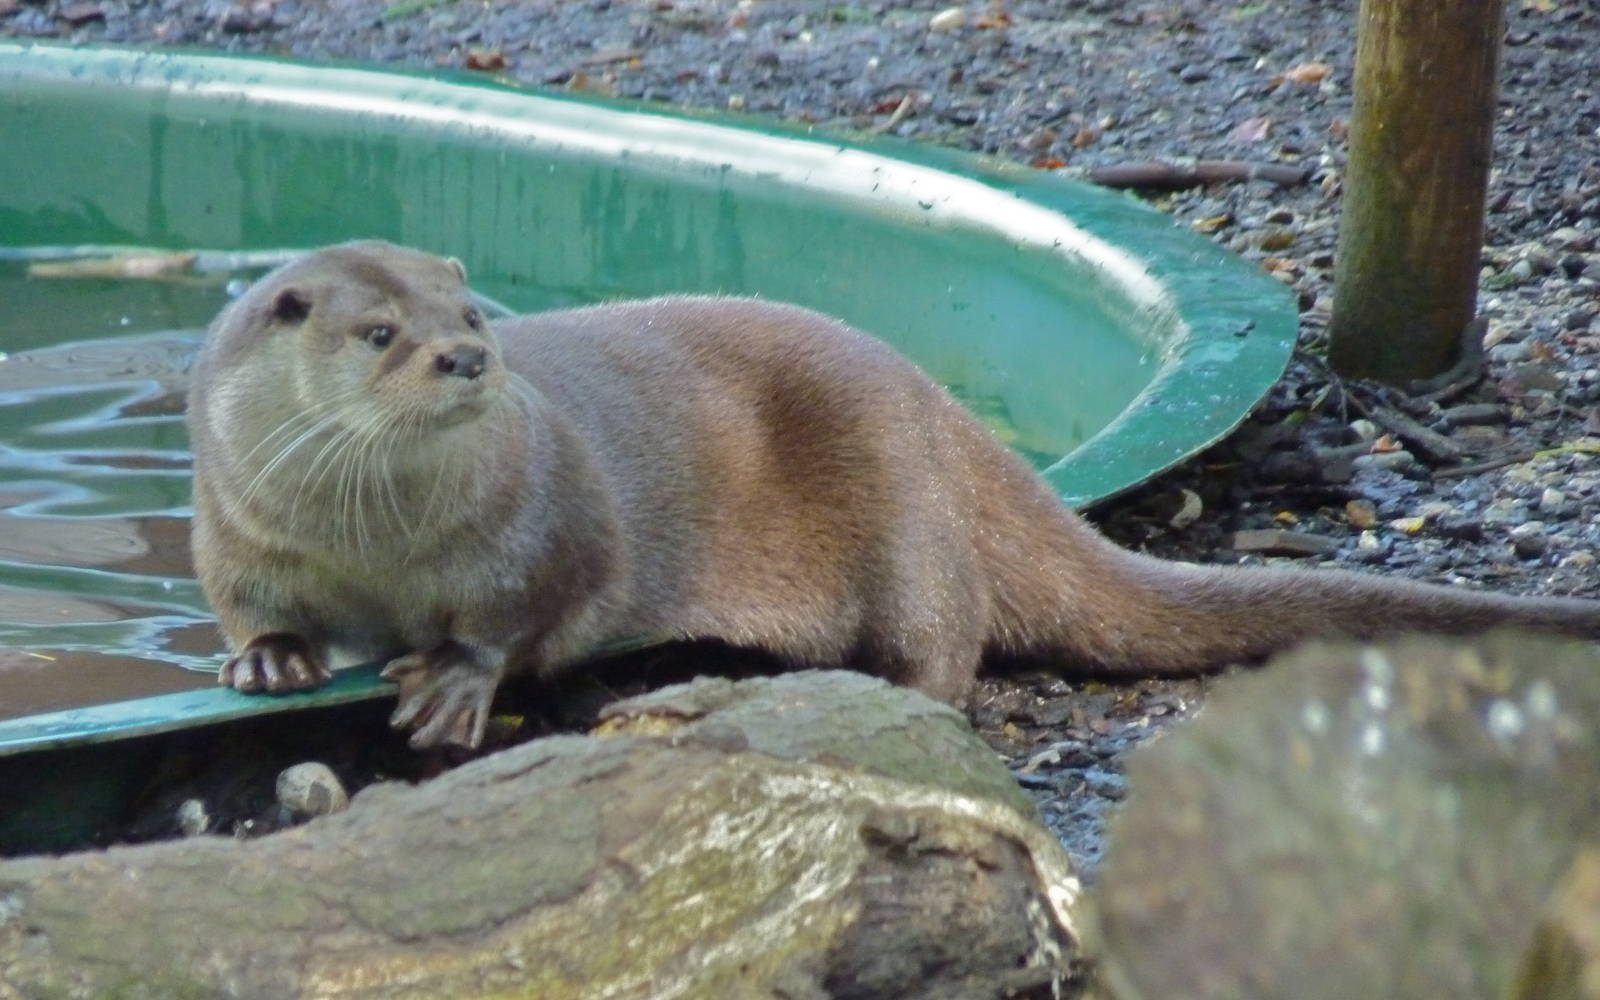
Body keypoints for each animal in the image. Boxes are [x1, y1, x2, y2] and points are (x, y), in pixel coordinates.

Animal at [189, 241, 1600, 749]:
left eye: (472, 313)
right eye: (379, 333)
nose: (470, 358)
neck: (378, 549)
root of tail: (947, 415)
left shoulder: (550, 516)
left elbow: (532, 607)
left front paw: (451, 681)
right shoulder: (234, 529)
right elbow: (249, 606)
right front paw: (268, 659)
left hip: (902, 495)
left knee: (947, 634)